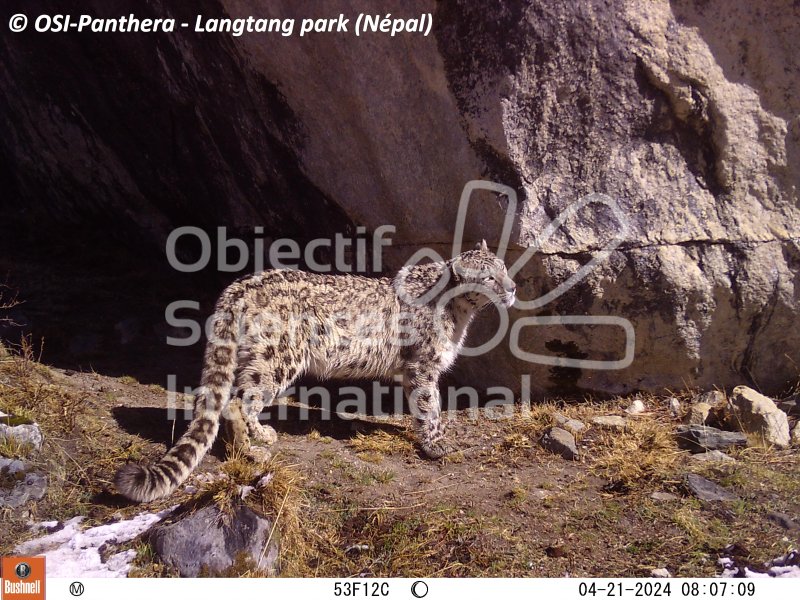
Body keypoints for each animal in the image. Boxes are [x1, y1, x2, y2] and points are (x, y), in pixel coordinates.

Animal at [117, 240, 520, 502]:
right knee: (239, 400)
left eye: (504, 268)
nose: (514, 287)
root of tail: (239, 286)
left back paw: (248, 444)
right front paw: (437, 445)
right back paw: (256, 444)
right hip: (278, 360)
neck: (460, 315)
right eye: (489, 277)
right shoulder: (423, 367)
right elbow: (428, 406)